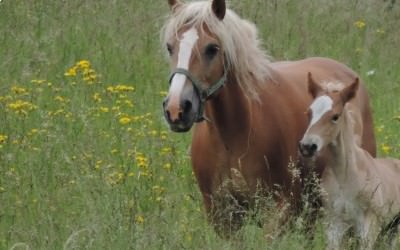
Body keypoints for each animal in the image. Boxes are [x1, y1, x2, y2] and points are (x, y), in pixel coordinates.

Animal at [160, 0, 376, 234]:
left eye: (212, 49)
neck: (234, 136)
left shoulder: (278, 212)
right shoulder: (222, 215)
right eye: (170, 47)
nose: (176, 109)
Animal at [298, 73, 400, 249]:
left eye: (335, 116)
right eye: (309, 113)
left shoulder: (368, 225)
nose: (307, 146)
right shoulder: (334, 223)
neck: (345, 176)